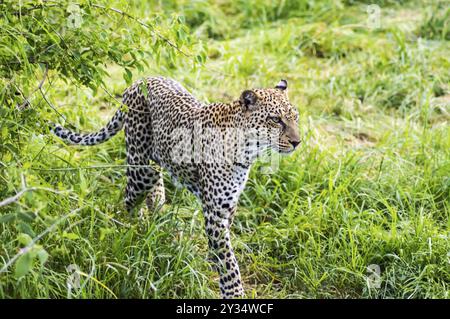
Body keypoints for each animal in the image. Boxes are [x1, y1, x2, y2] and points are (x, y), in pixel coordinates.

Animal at [51, 77, 298, 300]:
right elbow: (229, 261)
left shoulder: (229, 203)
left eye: (295, 117)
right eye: (276, 120)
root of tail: (138, 81)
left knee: (153, 187)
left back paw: (158, 220)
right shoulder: (215, 210)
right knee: (128, 199)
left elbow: (221, 247)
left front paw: (212, 261)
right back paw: (134, 229)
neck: (247, 151)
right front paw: (234, 293)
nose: (298, 142)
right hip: (140, 168)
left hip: (154, 161)